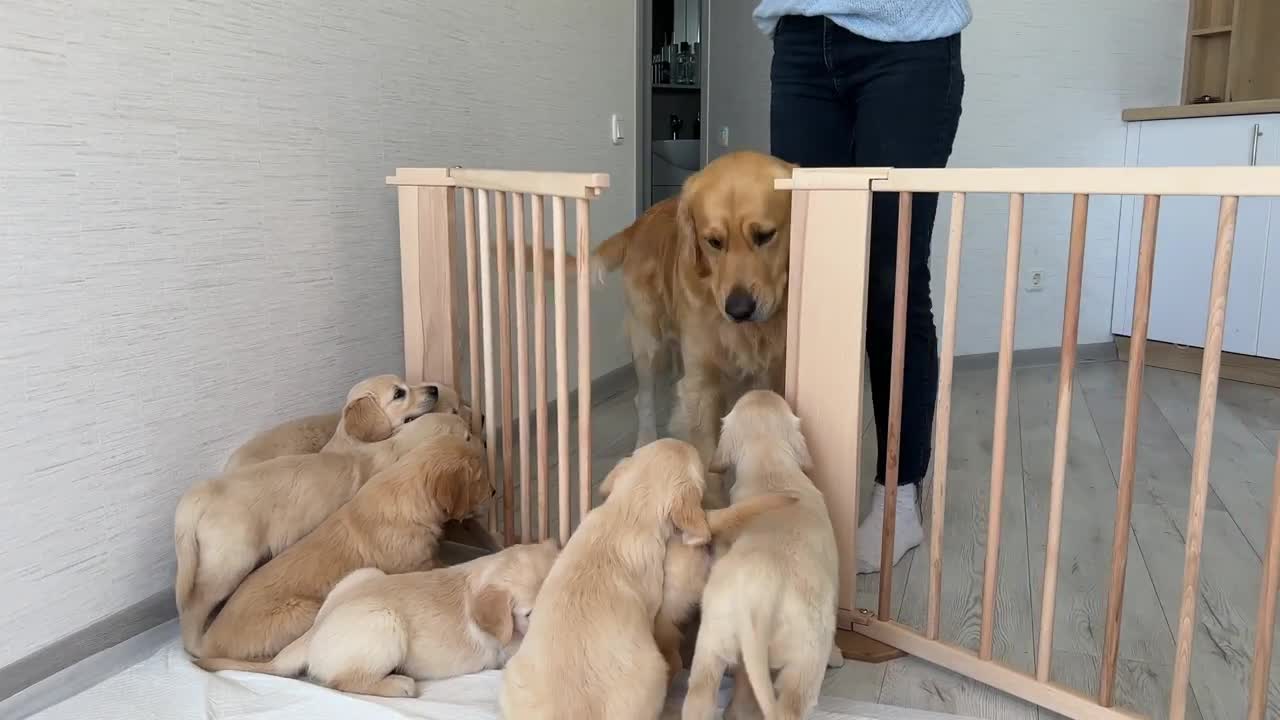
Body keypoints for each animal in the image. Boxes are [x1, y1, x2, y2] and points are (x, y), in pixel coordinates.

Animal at [174, 399, 465, 653]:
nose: (469, 417)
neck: (393, 449)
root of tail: (196, 497)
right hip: (230, 561)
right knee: (194, 605)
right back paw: (196, 644)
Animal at [197, 538, 558, 696]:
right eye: (529, 613)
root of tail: (311, 636)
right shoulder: (510, 646)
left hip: (362, 574)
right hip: (384, 622)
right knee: (341, 682)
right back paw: (399, 685)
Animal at [593, 148, 793, 474]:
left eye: (765, 235)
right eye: (713, 242)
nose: (739, 310)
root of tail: (639, 223)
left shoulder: (772, 376)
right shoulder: (702, 385)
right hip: (648, 341)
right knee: (644, 397)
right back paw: (645, 443)